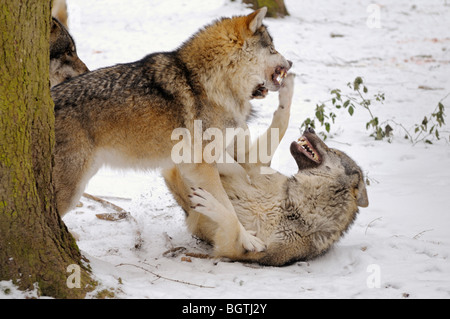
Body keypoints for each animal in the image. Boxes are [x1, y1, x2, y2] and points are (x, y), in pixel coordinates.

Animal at [51, 6, 292, 254]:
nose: (290, 63)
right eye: (272, 48)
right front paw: (248, 240)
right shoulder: (202, 166)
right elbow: (229, 207)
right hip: (72, 191)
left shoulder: (209, 159)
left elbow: (242, 173)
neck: (211, 82)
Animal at [165, 75, 370, 268]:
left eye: (333, 151)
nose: (310, 128)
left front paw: (208, 202)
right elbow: (281, 122)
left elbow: (232, 222)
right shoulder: (253, 164)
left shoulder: (232, 250)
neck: (292, 205)